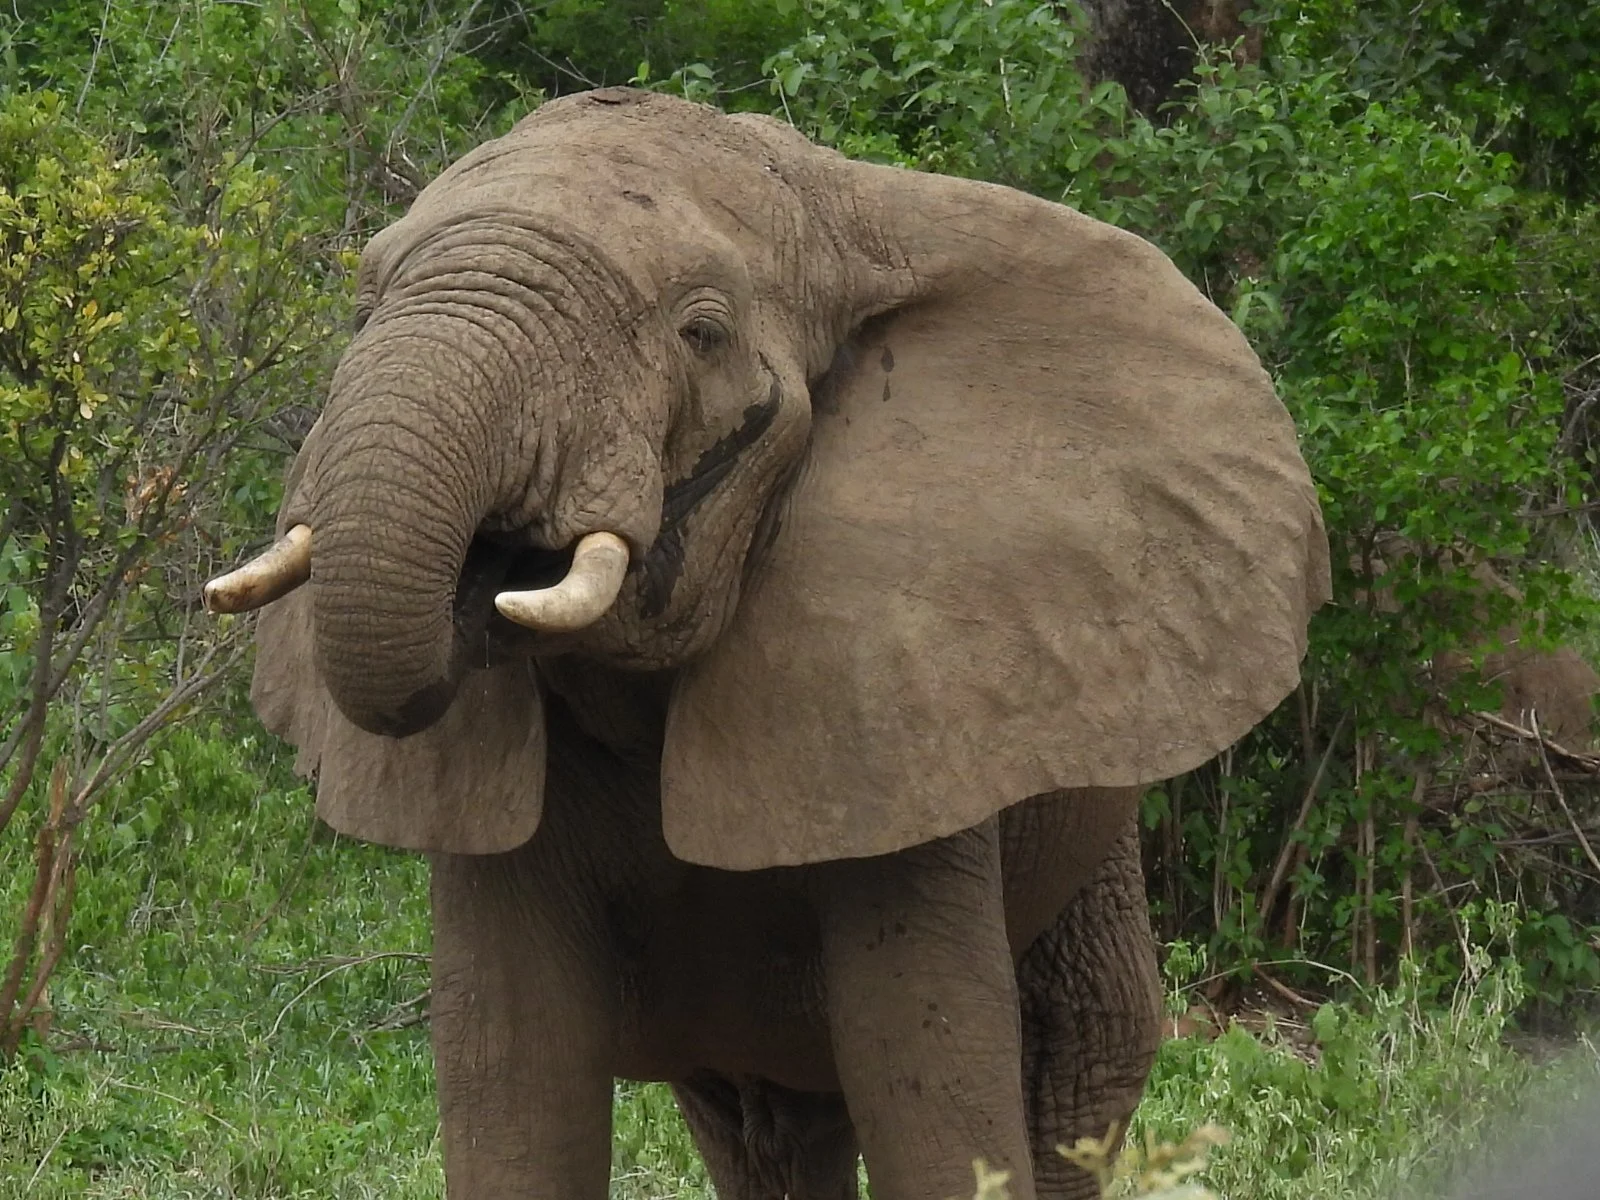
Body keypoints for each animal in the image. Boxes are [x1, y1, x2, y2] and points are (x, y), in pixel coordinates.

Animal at [206, 88, 1330, 1200]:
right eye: (362, 312)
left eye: (702, 332)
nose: (493, 570)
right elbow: (512, 1066)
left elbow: (924, 1065)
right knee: (765, 1127)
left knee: (1075, 1060)